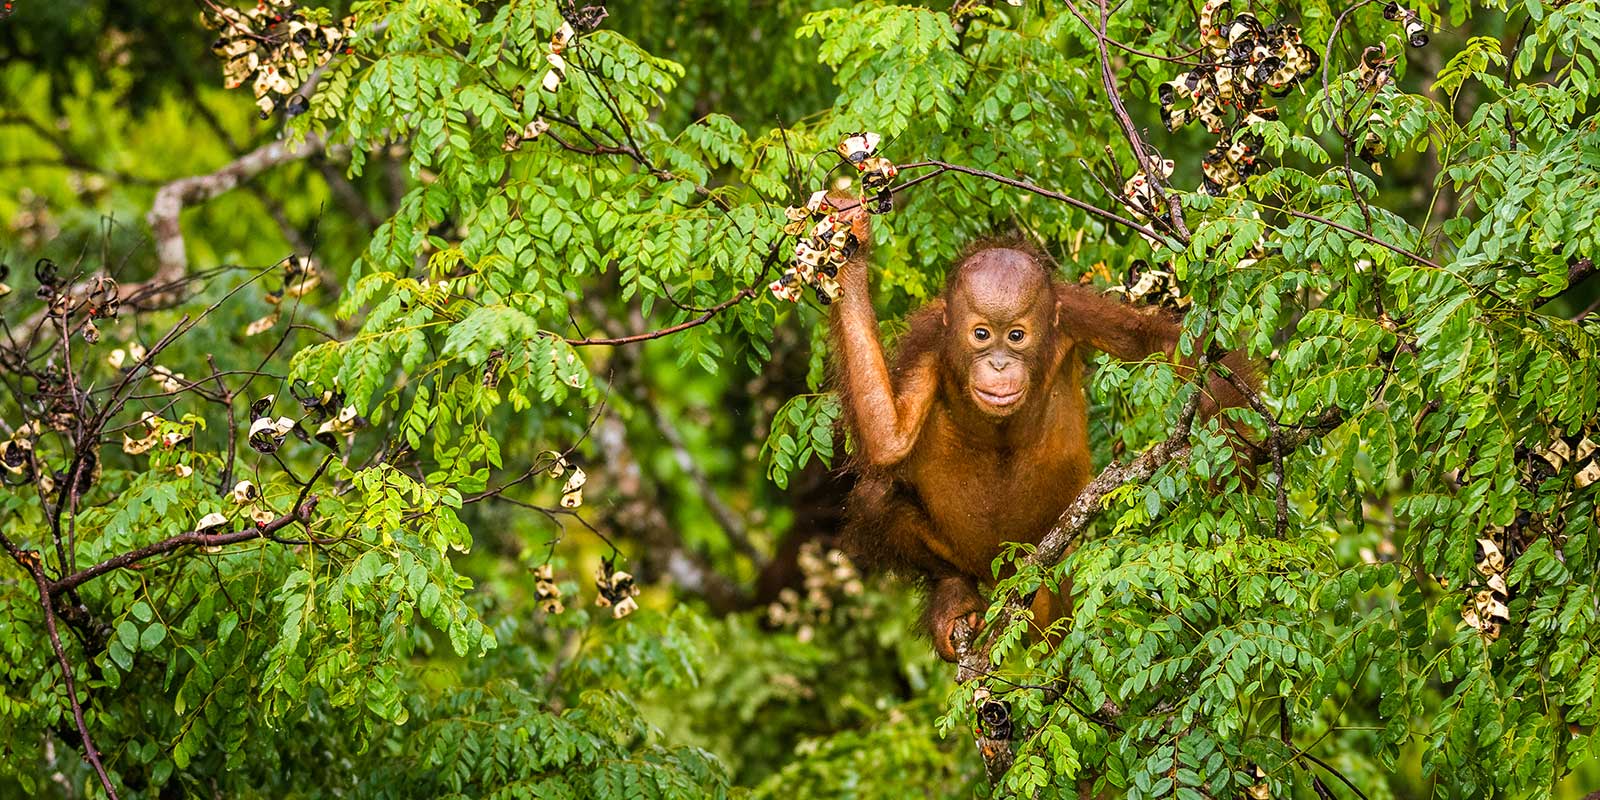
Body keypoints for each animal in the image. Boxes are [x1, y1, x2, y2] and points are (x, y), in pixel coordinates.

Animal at [825, 203, 1255, 662]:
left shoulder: (1075, 313)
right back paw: (954, 594)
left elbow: (1164, 341)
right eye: (981, 334)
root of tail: (1009, 574)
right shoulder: (929, 340)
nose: (998, 364)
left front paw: (1237, 461)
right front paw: (849, 247)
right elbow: (889, 438)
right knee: (875, 497)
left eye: (1016, 335)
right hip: (970, 558)